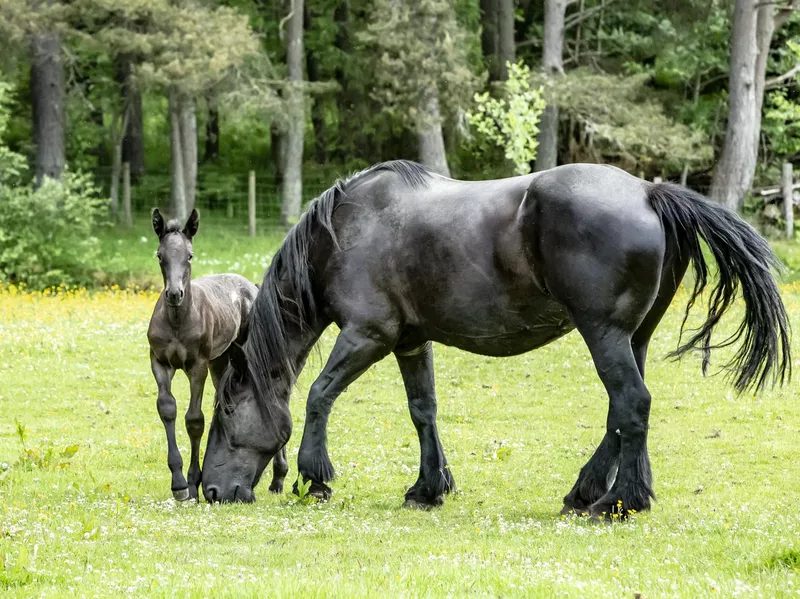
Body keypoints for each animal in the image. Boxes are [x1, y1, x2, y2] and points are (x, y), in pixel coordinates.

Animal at [148, 211, 290, 502]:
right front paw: (178, 482)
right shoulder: (159, 362)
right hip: (221, 361)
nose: (175, 294)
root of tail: (251, 286)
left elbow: (194, 420)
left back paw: (279, 477)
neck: (177, 320)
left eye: (189, 255)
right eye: (159, 255)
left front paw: (192, 483)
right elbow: (167, 409)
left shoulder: (197, 365)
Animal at [198, 162, 788, 516]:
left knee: (630, 404)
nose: (210, 490)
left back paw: (614, 503)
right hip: (632, 338)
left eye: (226, 411)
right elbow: (423, 410)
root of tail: (647, 191)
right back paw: (593, 493)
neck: (346, 233)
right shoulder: (410, 342)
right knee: (623, 414)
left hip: (604, 333)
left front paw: (315, 478)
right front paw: (427, 489)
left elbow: (320, 395)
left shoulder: (368, 335)